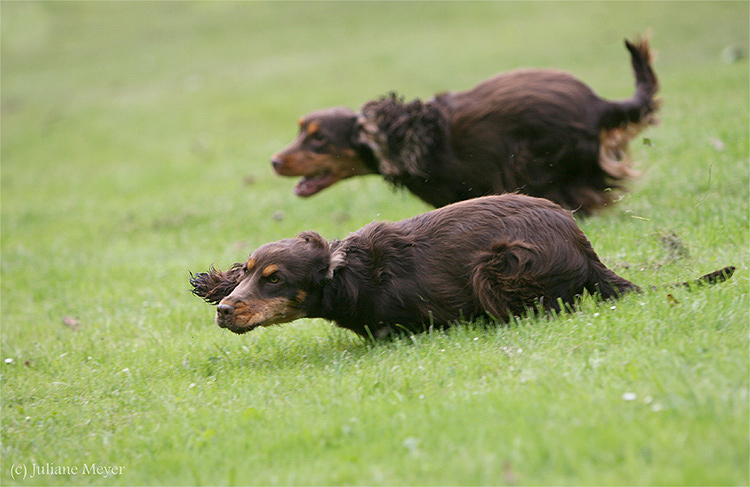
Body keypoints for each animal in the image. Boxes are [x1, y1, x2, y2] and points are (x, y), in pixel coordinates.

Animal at [191, 194, 736, 340]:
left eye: (275, 279)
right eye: (247, 271)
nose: (224, 310)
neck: (351, 275)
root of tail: (585, 250)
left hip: (500, 264)